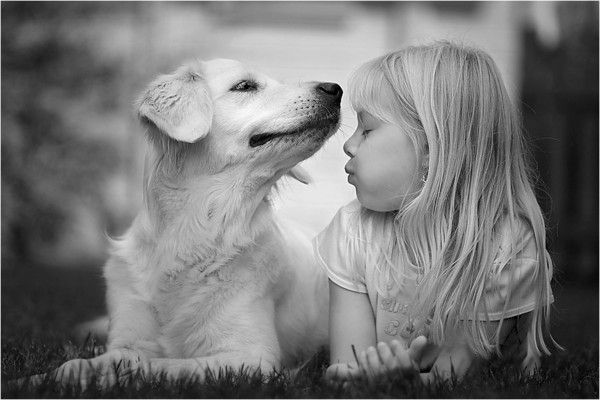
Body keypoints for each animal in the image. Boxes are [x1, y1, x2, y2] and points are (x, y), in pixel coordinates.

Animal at [24, 58, 342, 388]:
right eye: (245, 86)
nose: (336, 89)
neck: (194, 233)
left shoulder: (249, 359)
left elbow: (156, 366)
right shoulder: (129, 342)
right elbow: (79, 365)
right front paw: (37, 379)